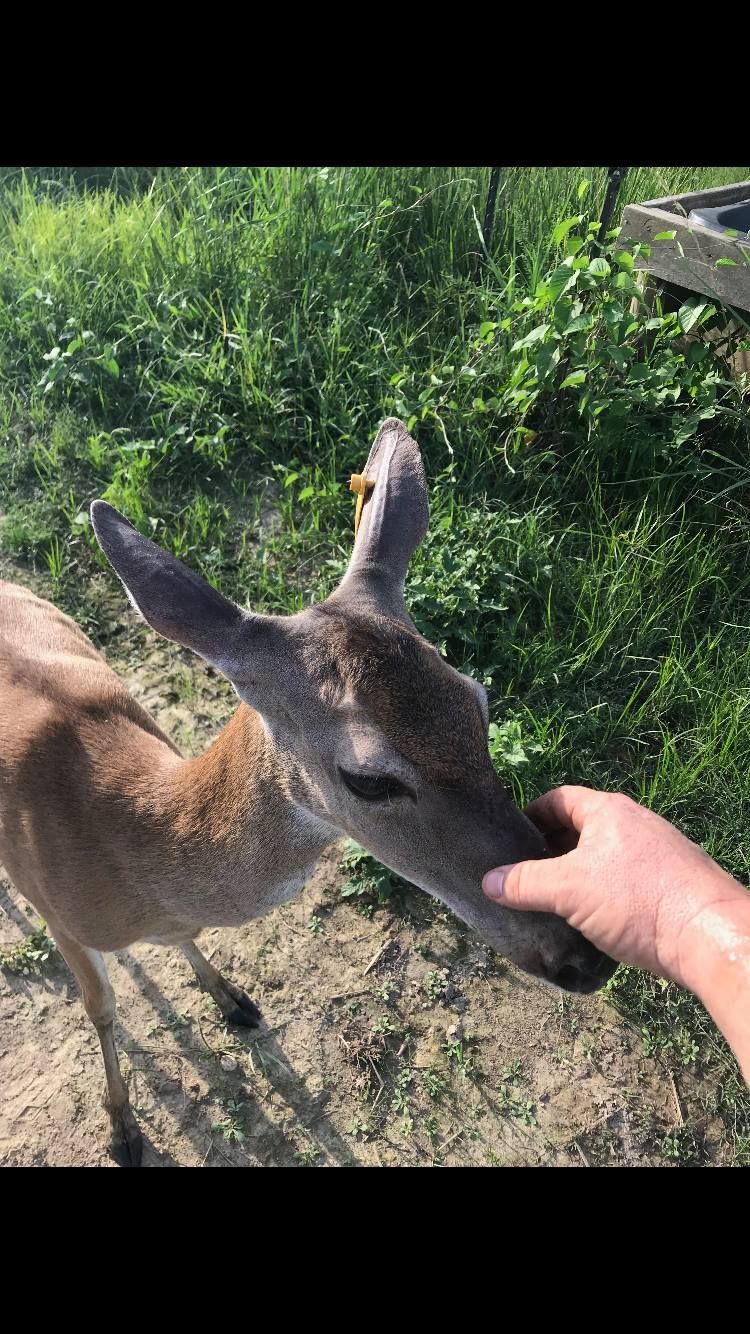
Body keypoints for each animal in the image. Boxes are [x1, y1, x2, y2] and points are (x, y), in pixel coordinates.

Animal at [0, 418, 616, 1165]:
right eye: (369, 778)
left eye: (478, 703)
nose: (586, 957)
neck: (121, 833)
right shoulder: (58, 910)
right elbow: (101, 1008)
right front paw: (122, 1129)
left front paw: (233, 999)